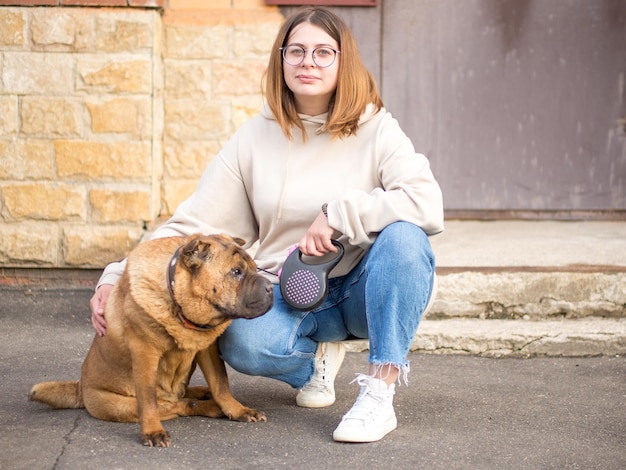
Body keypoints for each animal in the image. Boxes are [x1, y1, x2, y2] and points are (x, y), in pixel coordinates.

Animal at [29, 235, 272, 448]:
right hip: (120, 404)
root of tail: (80, 387)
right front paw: (153, 432)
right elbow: (148, 399)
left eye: (254, 267)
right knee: (175, 405)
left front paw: (238, 410)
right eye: (236, 272)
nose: (270, 288)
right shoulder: (145, 353)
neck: (179, 306)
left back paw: (205, 394)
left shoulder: (207, 349)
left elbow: (221, 383)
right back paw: (210, 407)